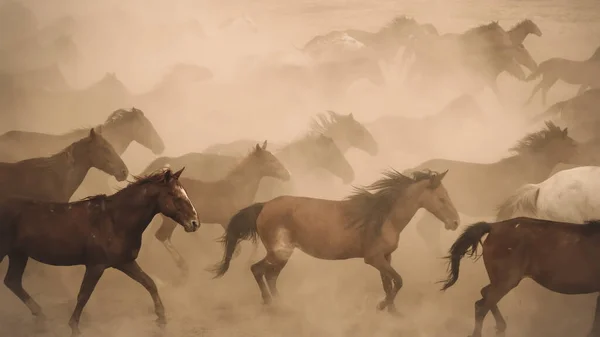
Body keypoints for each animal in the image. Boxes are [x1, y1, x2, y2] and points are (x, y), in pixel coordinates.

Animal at [0, 168, 199, 336]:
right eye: (174, 195)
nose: (195, 223)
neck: (114, 220)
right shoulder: (96, 266)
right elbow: (83, 296)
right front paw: (74, 328)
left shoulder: (124, 262)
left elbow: (149, 283)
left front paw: (162, 319)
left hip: (19, 254)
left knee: (12, 281)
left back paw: (41, 317)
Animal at [151, 140, 290, 278]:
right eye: (270, 160)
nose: (287, 175)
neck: (237, 190)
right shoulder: (228, 222)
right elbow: (238, 249)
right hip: (170, 221)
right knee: (161, 236)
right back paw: (184, 267)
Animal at [211, 169, 460, 312]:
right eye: (441, 198)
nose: (456, 222)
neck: (383, 216)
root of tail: (264, 206)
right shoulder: (374, 258)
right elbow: (398, 281)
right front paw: (382, 305)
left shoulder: (385, 258)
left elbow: (388, 284)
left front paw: (392, 311)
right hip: (279, 252)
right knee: (258, 270)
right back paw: (272, 303)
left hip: (282, 254)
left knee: (269, 275)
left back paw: (281, 303)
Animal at [440, 217, 600, 336]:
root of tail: (494, 226)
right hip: (507, 281)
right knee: (481, 306)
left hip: (501, 280)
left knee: (485, 294)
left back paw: (501, 328)